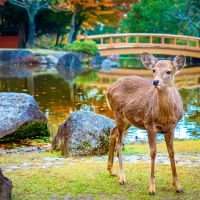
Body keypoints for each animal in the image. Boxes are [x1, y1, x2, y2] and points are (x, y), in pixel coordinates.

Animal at [107, 52, 185, 195]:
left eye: (169, 71)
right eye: (153, 70)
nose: (155, 82)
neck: (164, 116)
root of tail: (108, 89)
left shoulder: (172, 127)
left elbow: (171, 152)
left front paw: (178, 186)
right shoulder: (149, 124)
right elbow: (153, 152)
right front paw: (152, 188)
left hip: (128, 120)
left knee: (112, 131)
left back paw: (111, 170)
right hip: (118, 113)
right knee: (119, 143)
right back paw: (122, 178)